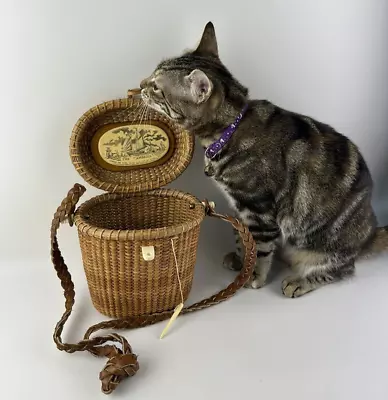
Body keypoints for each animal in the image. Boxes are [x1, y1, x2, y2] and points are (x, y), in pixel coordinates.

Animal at [140, 22, 388, 296]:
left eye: (156, 87)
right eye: (152, 74)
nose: (140, 84)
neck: (227, 132)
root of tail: (368, 234)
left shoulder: (258, 209)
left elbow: (259, 249)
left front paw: (253, 275)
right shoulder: (240, 209)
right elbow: (243, 239)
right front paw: (241, 261)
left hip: (327, 244)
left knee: (341, 269)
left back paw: (300, 281)